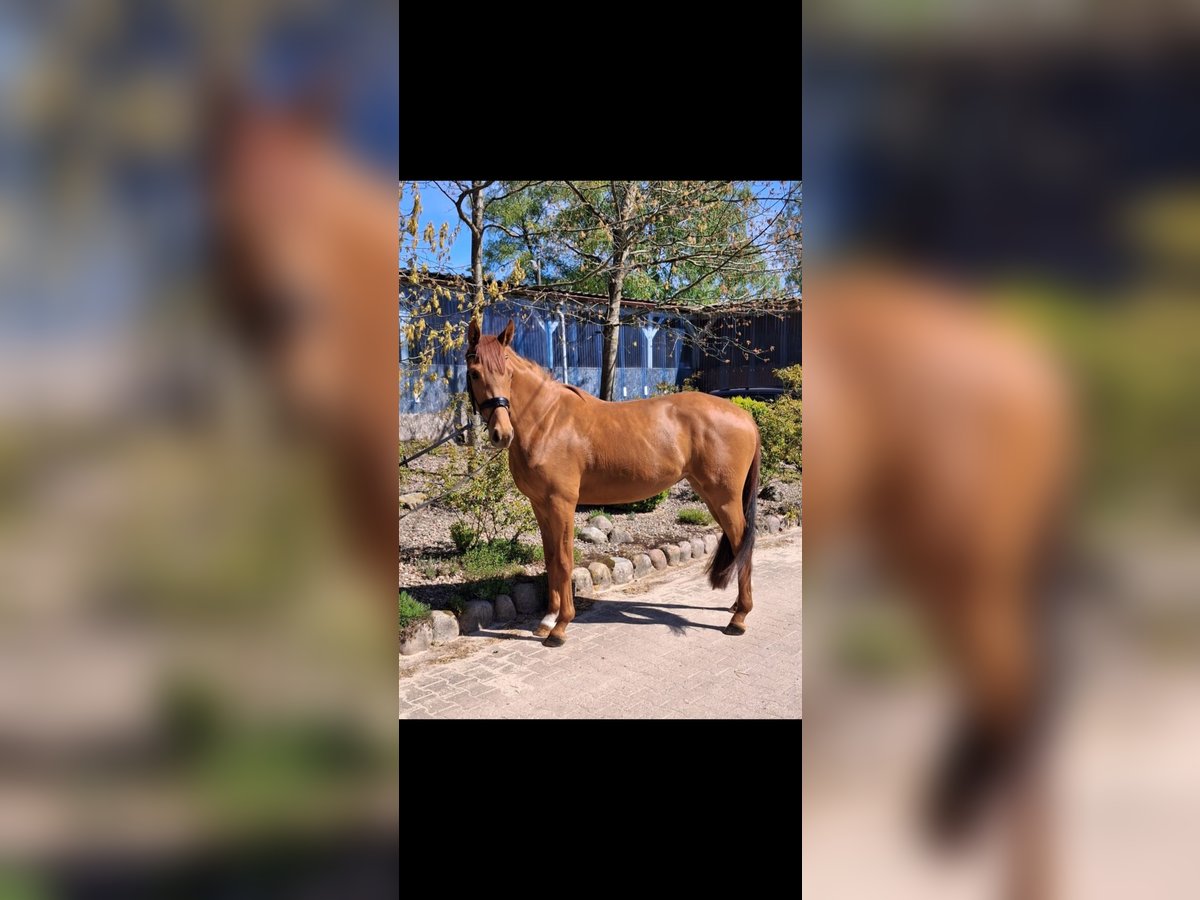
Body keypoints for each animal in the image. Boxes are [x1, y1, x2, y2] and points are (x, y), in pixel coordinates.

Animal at [465, 318, 762, 646]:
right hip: (712, 496)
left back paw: (739, 618)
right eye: (474, 372)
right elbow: (551, 559)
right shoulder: (540, 505)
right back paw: (735, 606)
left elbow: (565, 561)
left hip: (725, 498)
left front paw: (560, 626)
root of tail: (745, 417)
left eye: (508, 373)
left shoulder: (561, 504)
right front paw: (547, 620)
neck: (547, 422)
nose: (501, 434)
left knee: (743, 542)